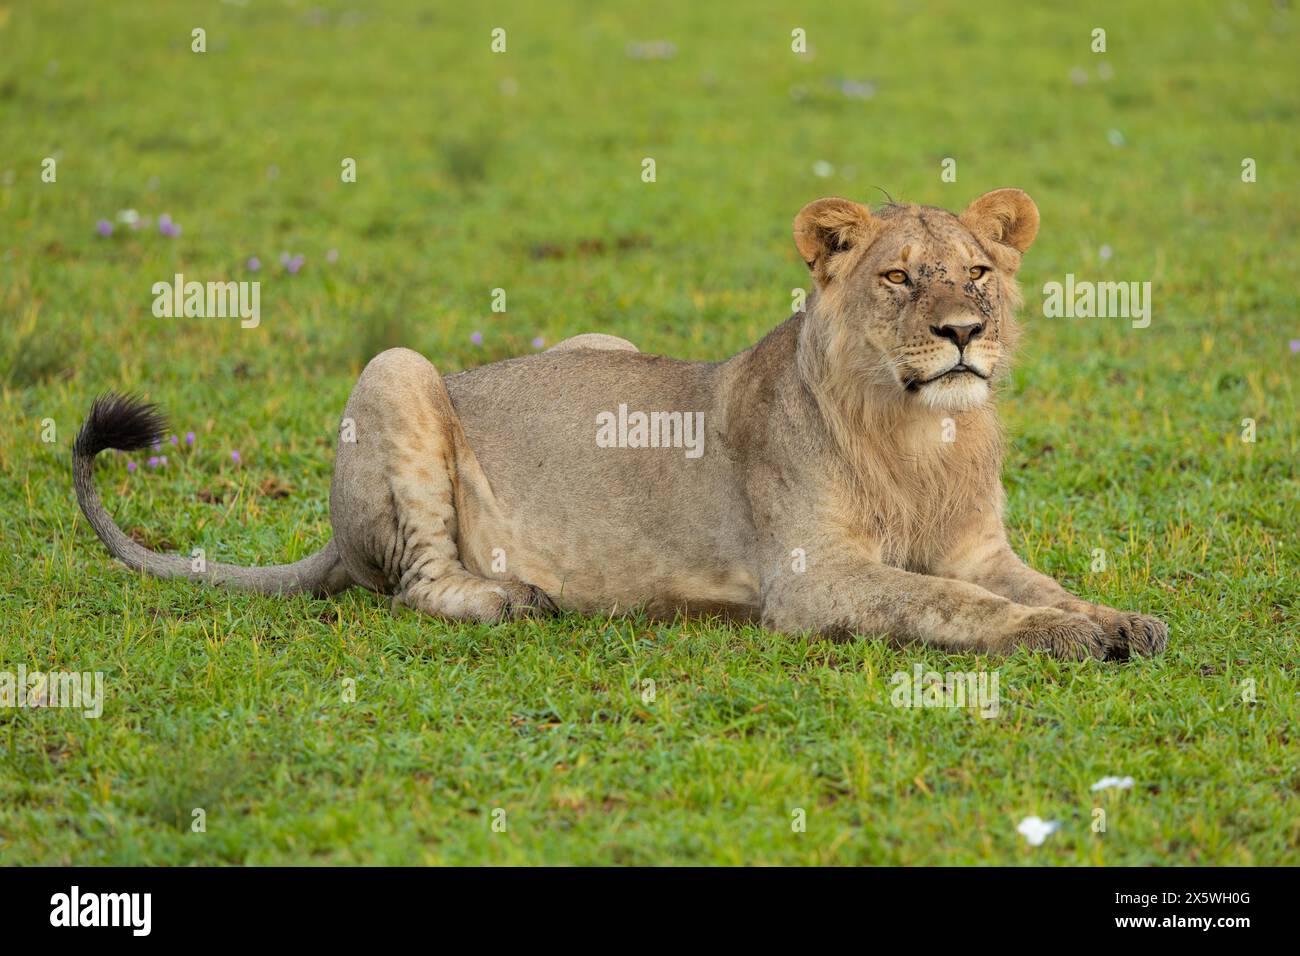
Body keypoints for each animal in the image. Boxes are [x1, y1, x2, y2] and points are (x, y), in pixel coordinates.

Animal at [74, 188, 1167, 659]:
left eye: (977, 271)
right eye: (899, 276)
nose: (963, 332)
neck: (921, 436)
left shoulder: (981, 548)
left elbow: (1029, 585)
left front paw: (1116, 618)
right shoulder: (813, 581)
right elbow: (951, 605)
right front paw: (1066, 637)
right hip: (397, 372)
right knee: (420, 582)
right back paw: (512, 598)